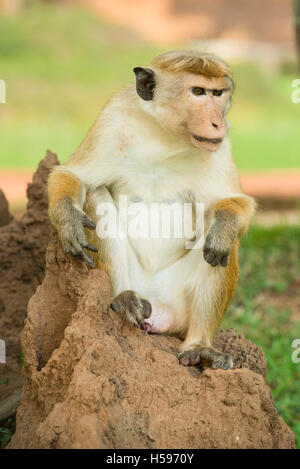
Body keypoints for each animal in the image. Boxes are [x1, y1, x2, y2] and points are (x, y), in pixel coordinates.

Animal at [47, 48, 255, 370]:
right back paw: (122, 299)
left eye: (218, 93)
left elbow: (234, 204)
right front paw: (67, 220)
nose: (217, 122)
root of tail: (158, 309)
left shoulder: (221, 144)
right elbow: (73, 176)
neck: (165, 135)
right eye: (198, 92)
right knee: (96, 193)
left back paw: (200, 346)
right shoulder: (112, 119)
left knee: (220, 244)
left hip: (180, 305)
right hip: (134, 283)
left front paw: (226, 224)